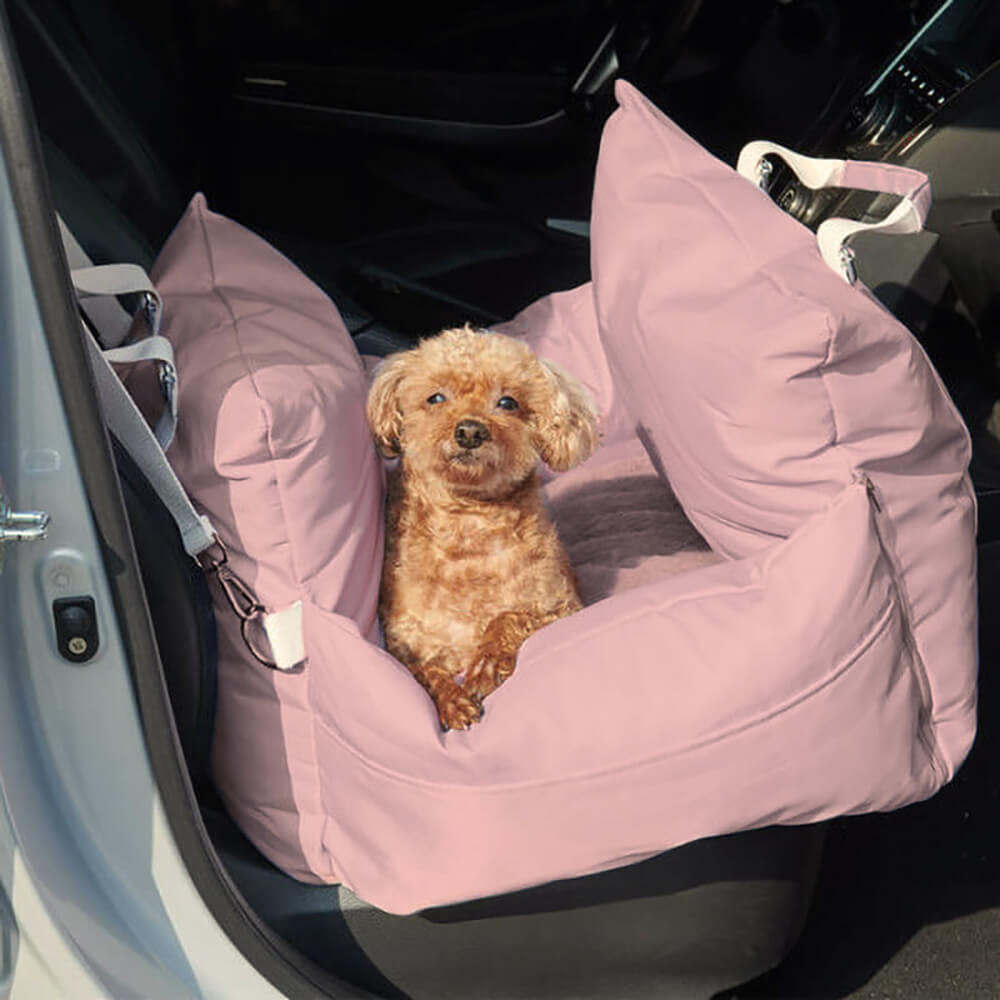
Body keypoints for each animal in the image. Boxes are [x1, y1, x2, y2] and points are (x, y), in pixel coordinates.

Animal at [368, 326, 600, 728]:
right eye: (436, 398)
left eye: (507, 402)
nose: (470, 431)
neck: (467, 524)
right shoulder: (407, 638)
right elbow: (424, 671)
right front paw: (452, 700)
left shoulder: (560, 607)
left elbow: (507, 618)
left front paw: (484, 667)